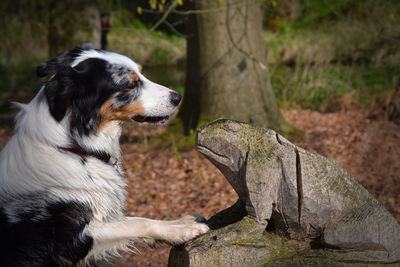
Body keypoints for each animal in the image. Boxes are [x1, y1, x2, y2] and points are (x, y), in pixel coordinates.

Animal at [0, 49, 211, 266]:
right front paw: (181, 230)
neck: (73, 147)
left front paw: (179, 223)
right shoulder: (68, 240)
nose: (178, 97)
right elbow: (136, 223)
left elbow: (134, 220)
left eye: (141, 73)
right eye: (130, 84)